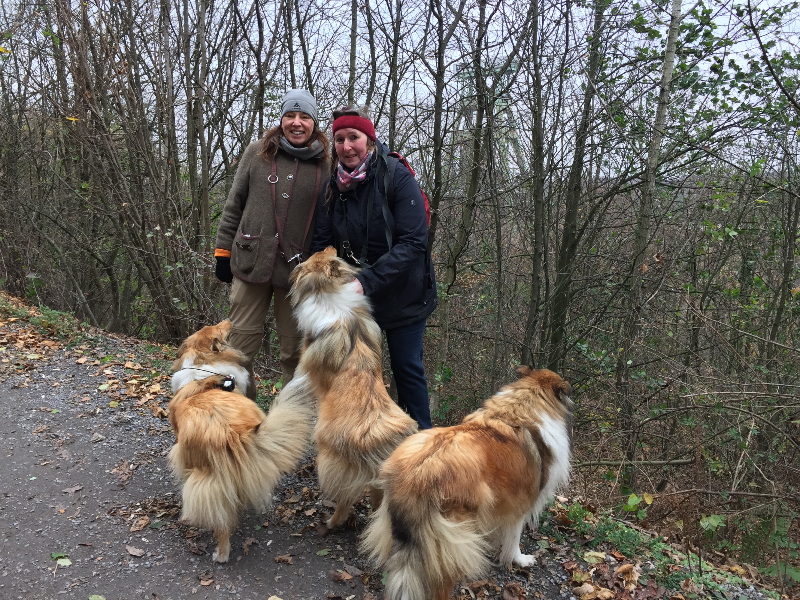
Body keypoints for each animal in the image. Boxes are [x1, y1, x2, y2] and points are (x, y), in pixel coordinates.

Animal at [168, 322, 312, 560]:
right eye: (214, 326)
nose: (228, 320)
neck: (203, 366)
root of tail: (231, 431)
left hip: (208, 480)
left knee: (222, 522)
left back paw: (221, 554)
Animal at [292, 248, 418, 528]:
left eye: (311, 258)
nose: (327, 247)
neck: (329, 294)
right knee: (377, 499)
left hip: (330, 462)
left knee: (346, 498)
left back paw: (331, 522)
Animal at [362, 366, 576, 600]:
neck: (523, 405)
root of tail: (415, 478)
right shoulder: (520, 505)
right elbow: (514, 539)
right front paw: (521, 560)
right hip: (451, 541)